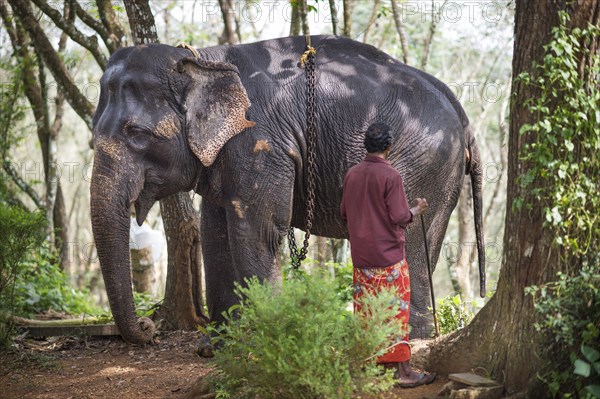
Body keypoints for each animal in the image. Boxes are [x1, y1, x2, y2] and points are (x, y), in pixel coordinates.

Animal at [90, 35, 482, 346]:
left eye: (136, 133)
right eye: (93, 133)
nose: (148, 326)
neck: (203, 58)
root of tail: (463, 116)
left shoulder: (260, 143)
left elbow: (257, 231)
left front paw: (264, 339)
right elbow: (215, 232)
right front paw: (216, 347)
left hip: (422, 164)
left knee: (412, 237)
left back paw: (403, 337)